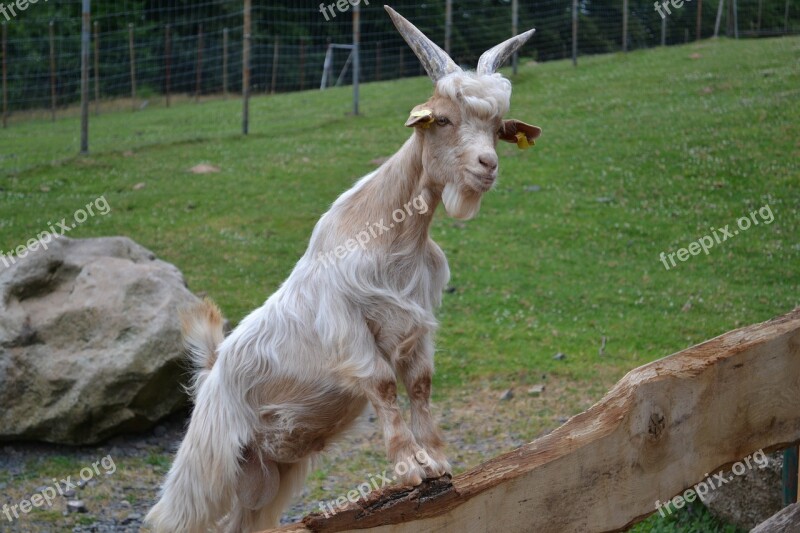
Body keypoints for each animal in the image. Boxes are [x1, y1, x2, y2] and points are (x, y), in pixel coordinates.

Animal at [145, 6, 544, 528]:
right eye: (442, 119)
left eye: (498, 127)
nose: (487, 165)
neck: (393, 234)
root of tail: (213, 368)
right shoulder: (346, 321)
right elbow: (382, 383)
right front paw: (410, 468)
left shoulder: (418, 323)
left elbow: (419, 385)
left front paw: (437, 460)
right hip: (206, 463)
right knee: (173, 515)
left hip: (267, 474)